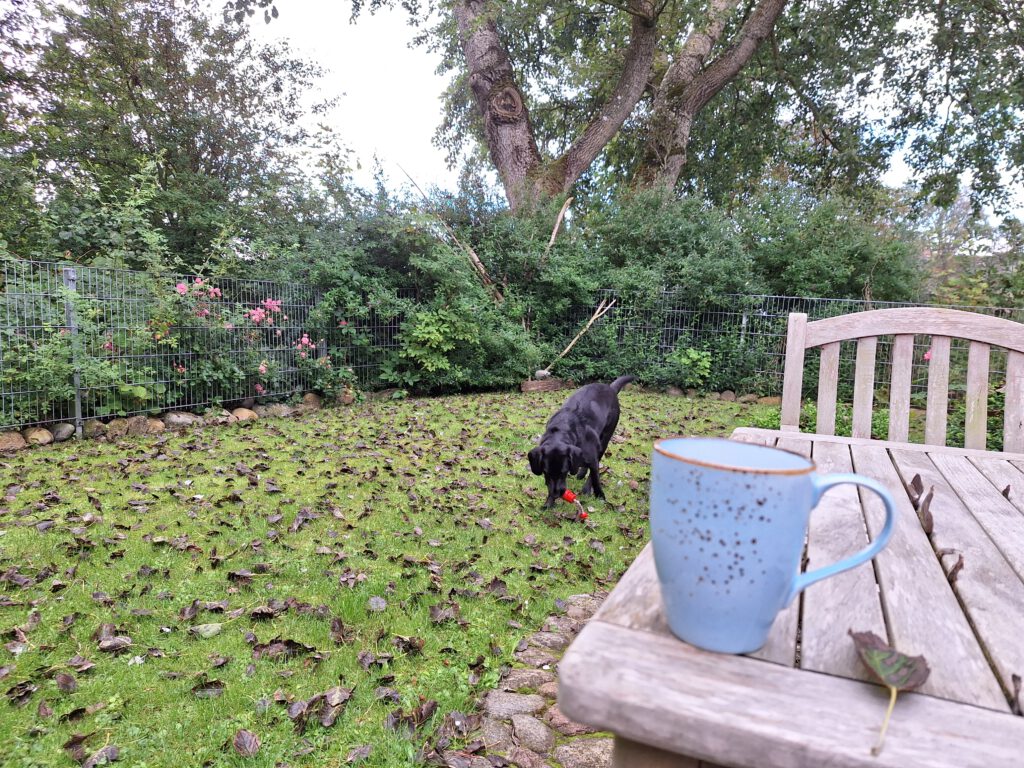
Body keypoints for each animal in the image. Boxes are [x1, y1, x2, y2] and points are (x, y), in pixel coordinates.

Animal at [528, 376, 630, 507]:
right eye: (546, 472)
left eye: (564, 472)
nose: (556, 494)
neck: (561, 429)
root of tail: (610, 388)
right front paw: (549, 502)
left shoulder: (593, 459)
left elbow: (595, 478)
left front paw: (600, 495)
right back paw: (581, 473)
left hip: (605, 439)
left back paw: (587, 488)